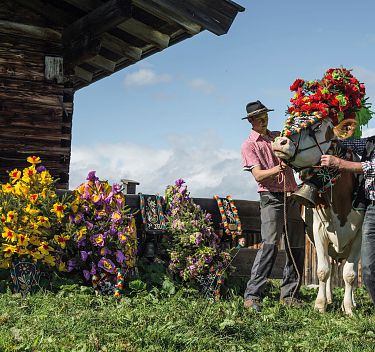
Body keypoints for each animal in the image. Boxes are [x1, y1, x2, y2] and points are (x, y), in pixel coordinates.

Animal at [274, 118, 364, 314]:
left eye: (317, 127)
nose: (279, 141)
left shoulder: (359, 236)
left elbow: (350, 274)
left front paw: (348, 308)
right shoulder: (319, 231)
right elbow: (323, 271)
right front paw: (320, 305)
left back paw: (352, 302)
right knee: (329, 267)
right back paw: (329, 298)